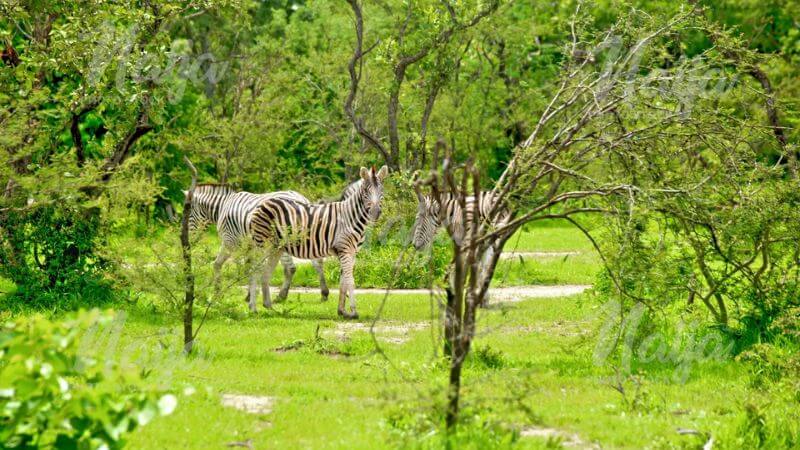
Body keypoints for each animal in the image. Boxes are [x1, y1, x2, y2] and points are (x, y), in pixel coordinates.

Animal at [184, 183, 328, 306]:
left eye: (188, 212)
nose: (190, 240)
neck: (223, 207)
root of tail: (301, 198)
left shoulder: (231, 242)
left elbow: (240, 268)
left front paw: (222, 293)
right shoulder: (246, 245)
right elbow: (224, 265)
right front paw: (223, 293)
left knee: (291, 268)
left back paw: (281, 296)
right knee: (317, 262)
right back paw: (324, 294)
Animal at [250, 166, 388, 320]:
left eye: (381, 191)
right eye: (365, 191)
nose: (375, 213)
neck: (350, 217)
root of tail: (263, 203)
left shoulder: (351, 253)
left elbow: (343, 282)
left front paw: (342, 311)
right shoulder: (344, 250)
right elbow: (350, 281)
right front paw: (353, 312)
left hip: (276, 248)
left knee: (265, 273)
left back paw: (270, 307)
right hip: (262, 244)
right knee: (255, 270)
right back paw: (253, 308)